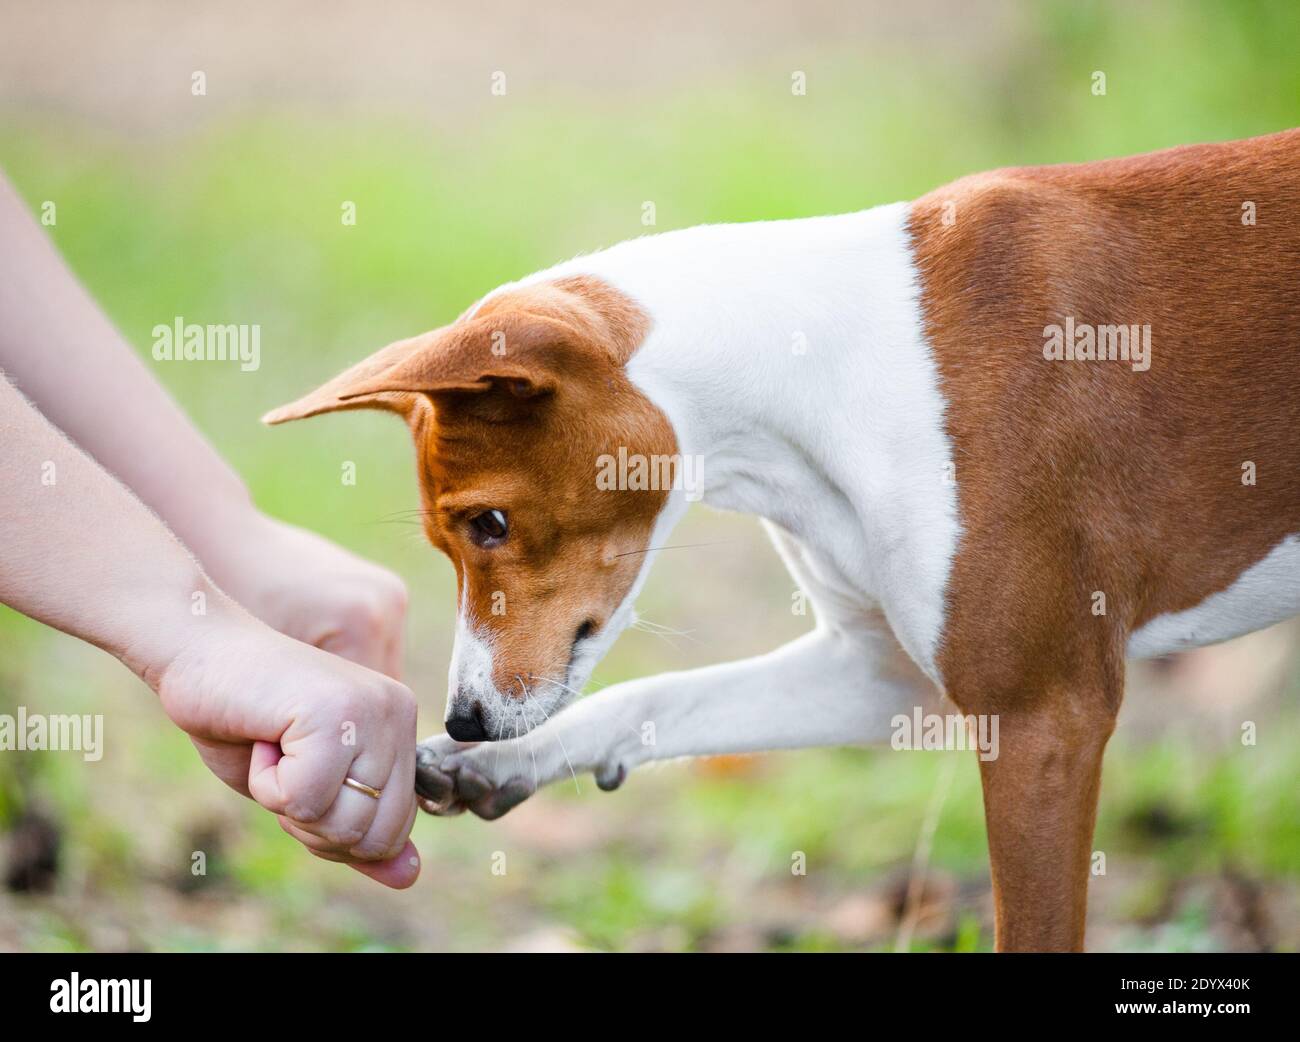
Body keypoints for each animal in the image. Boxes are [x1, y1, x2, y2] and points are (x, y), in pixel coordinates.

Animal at [263, 129, 1300, 951]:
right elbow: (661, 697)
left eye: (490, 522)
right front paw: (494, 764)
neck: (826, 367)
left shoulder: (1045, 716)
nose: (468, 718)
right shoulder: (881, 676)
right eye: (450, 544)